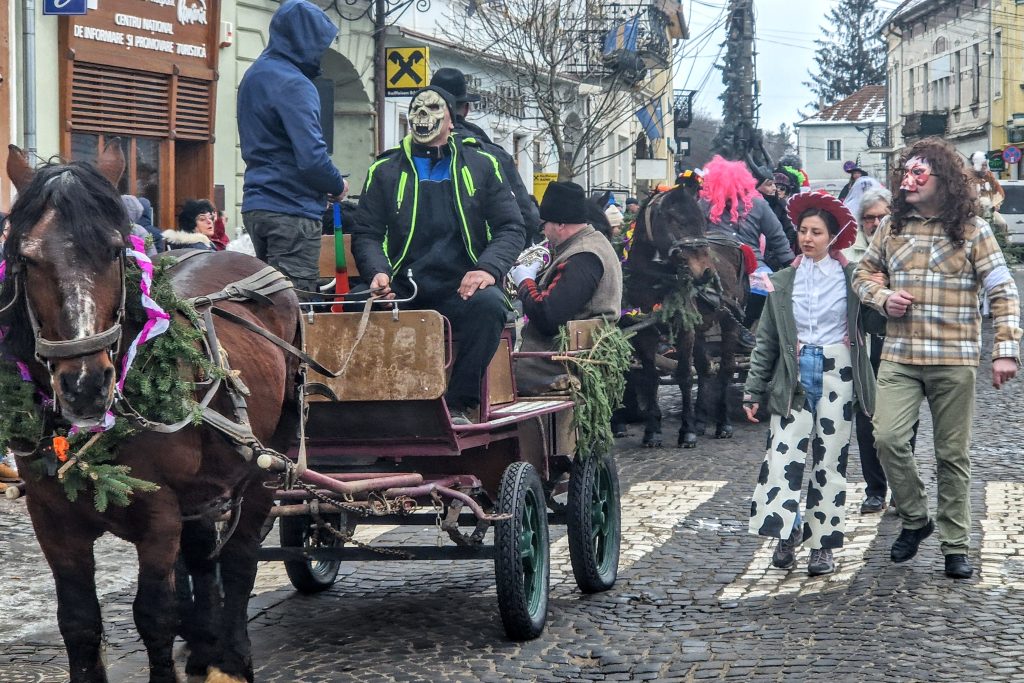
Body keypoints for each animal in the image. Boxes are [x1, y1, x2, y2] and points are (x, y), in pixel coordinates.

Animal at [3, 141, 299, 679]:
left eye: (114, 249)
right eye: (27, 258)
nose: (84, 385)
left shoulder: (158, 514)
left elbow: (156, 615)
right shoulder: (51, 518)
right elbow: (78, 621)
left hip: (269, 462)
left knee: (240, 558)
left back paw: (233, 657)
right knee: (203, 556)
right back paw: (204, 648)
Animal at [618, 181, 749, 448]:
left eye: (701, 220)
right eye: (675, 219)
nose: (706, 272)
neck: (655, 280)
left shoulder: (684, 330)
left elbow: (684, 376)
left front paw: (686, 431)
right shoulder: (643, 333)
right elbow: (651, 378)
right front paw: (652, 431)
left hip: (729, 321)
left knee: (725, 368)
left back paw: (722, 424)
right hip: (701, 326)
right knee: (705, 367)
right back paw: (700, 420)